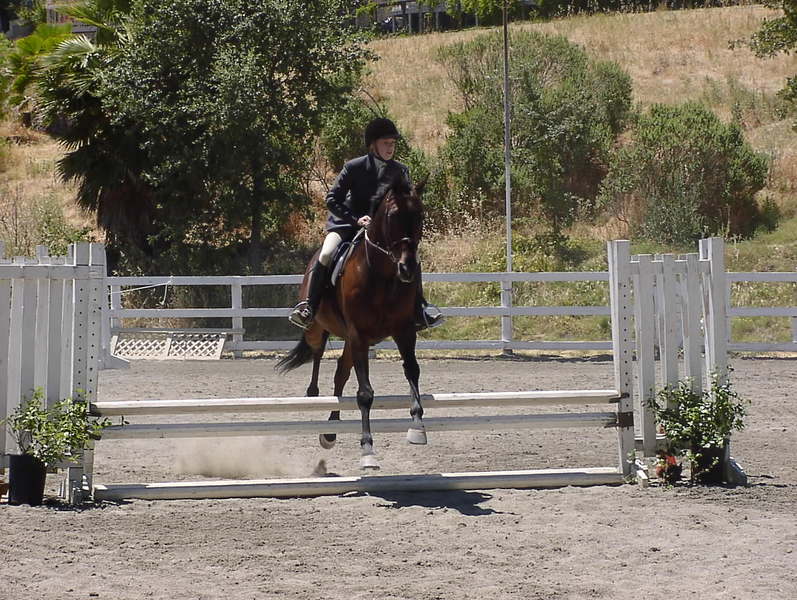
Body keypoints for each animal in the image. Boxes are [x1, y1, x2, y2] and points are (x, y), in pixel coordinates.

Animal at [276, 176, 426, 470]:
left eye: (420, 216)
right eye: (392, 216)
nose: (407, 269)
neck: (383, 276)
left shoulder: (403, 331)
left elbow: (412, 370)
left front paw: (417, 426)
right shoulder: (359, 335)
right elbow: (365, 393)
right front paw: (367, 449)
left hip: (349, 340)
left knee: (340, 375)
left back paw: (331, 431)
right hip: (320, 328)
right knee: (317, 352)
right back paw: (313, 392)